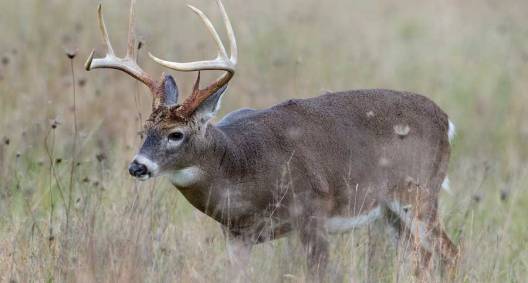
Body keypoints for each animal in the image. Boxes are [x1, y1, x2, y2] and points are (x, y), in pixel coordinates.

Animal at [84, 0, 460, 280]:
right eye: (145, 129)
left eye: (176, 134)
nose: (137, 166)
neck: (240, 167)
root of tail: (446, 120)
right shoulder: (236, 234)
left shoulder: (312, 212)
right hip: (392, 211)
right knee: (420, 257)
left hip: (419, 193)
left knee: (450, 252)